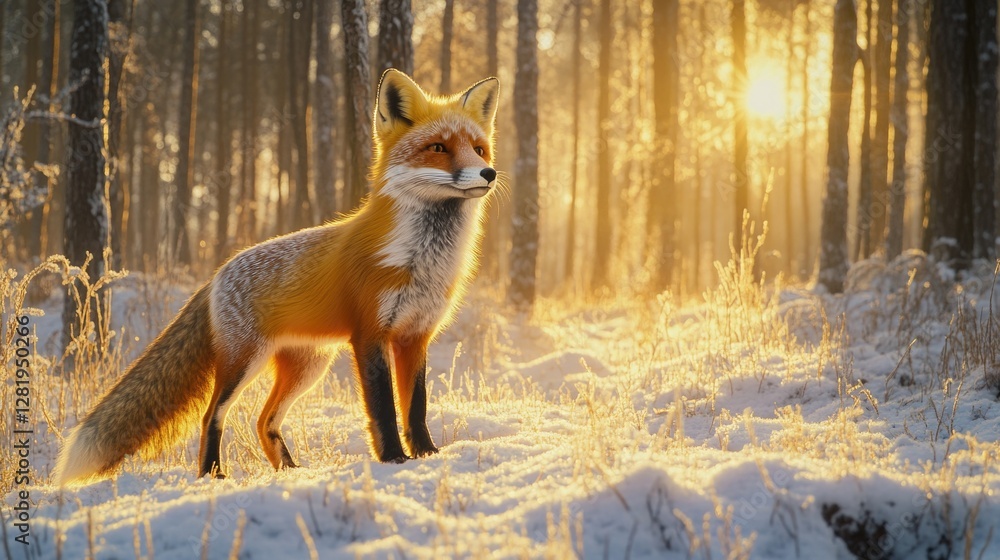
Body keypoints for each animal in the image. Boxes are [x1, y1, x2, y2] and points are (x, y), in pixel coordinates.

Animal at [54, 69, 500, 484]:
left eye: (479, 149)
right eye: (438, 148)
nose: (489, 173)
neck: (421, 260)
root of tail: (216, 275)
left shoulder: (415, 336)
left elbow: (416, 408)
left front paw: (428, 455)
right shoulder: (370, 335)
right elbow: (384, 410)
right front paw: (393, 459)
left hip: (307, 368)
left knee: (263, 420)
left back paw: (288, 470)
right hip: (243, 362)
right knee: (212, 416)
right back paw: (212, 474)